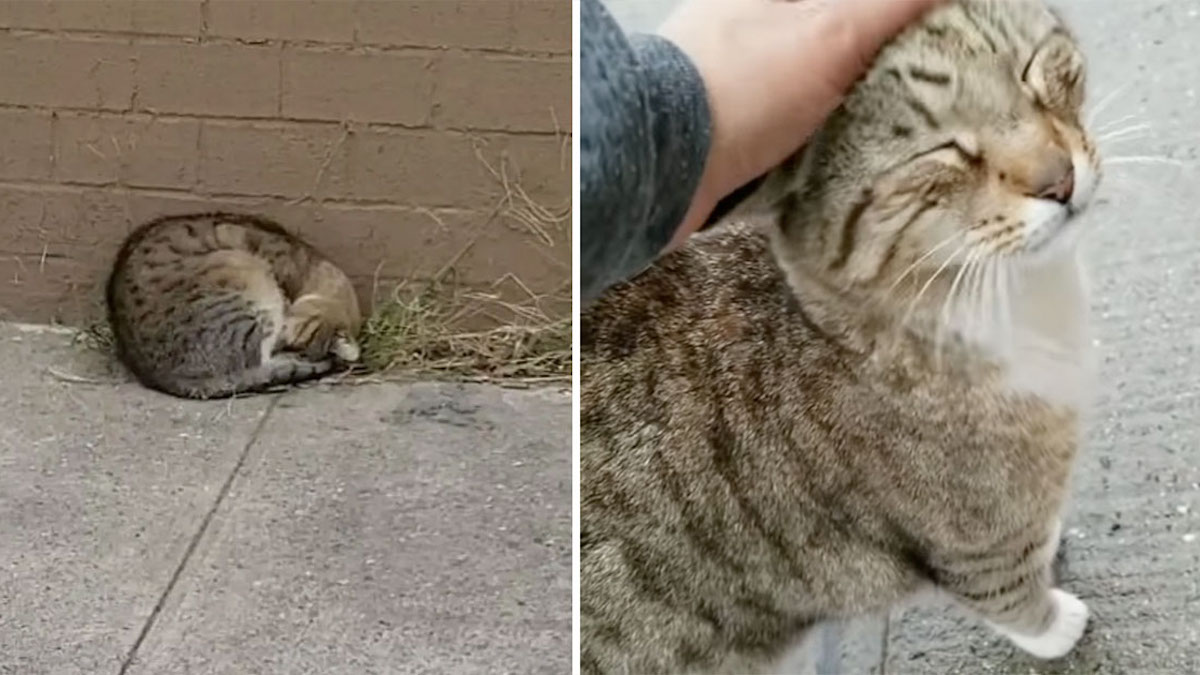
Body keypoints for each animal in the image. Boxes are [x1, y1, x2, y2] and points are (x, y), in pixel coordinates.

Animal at [580, 2, 1104, 667]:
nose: (1060, 180)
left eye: (1033, 72)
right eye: (943, 152)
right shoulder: (975, 544)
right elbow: (1011, 597)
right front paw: (1057, 625)